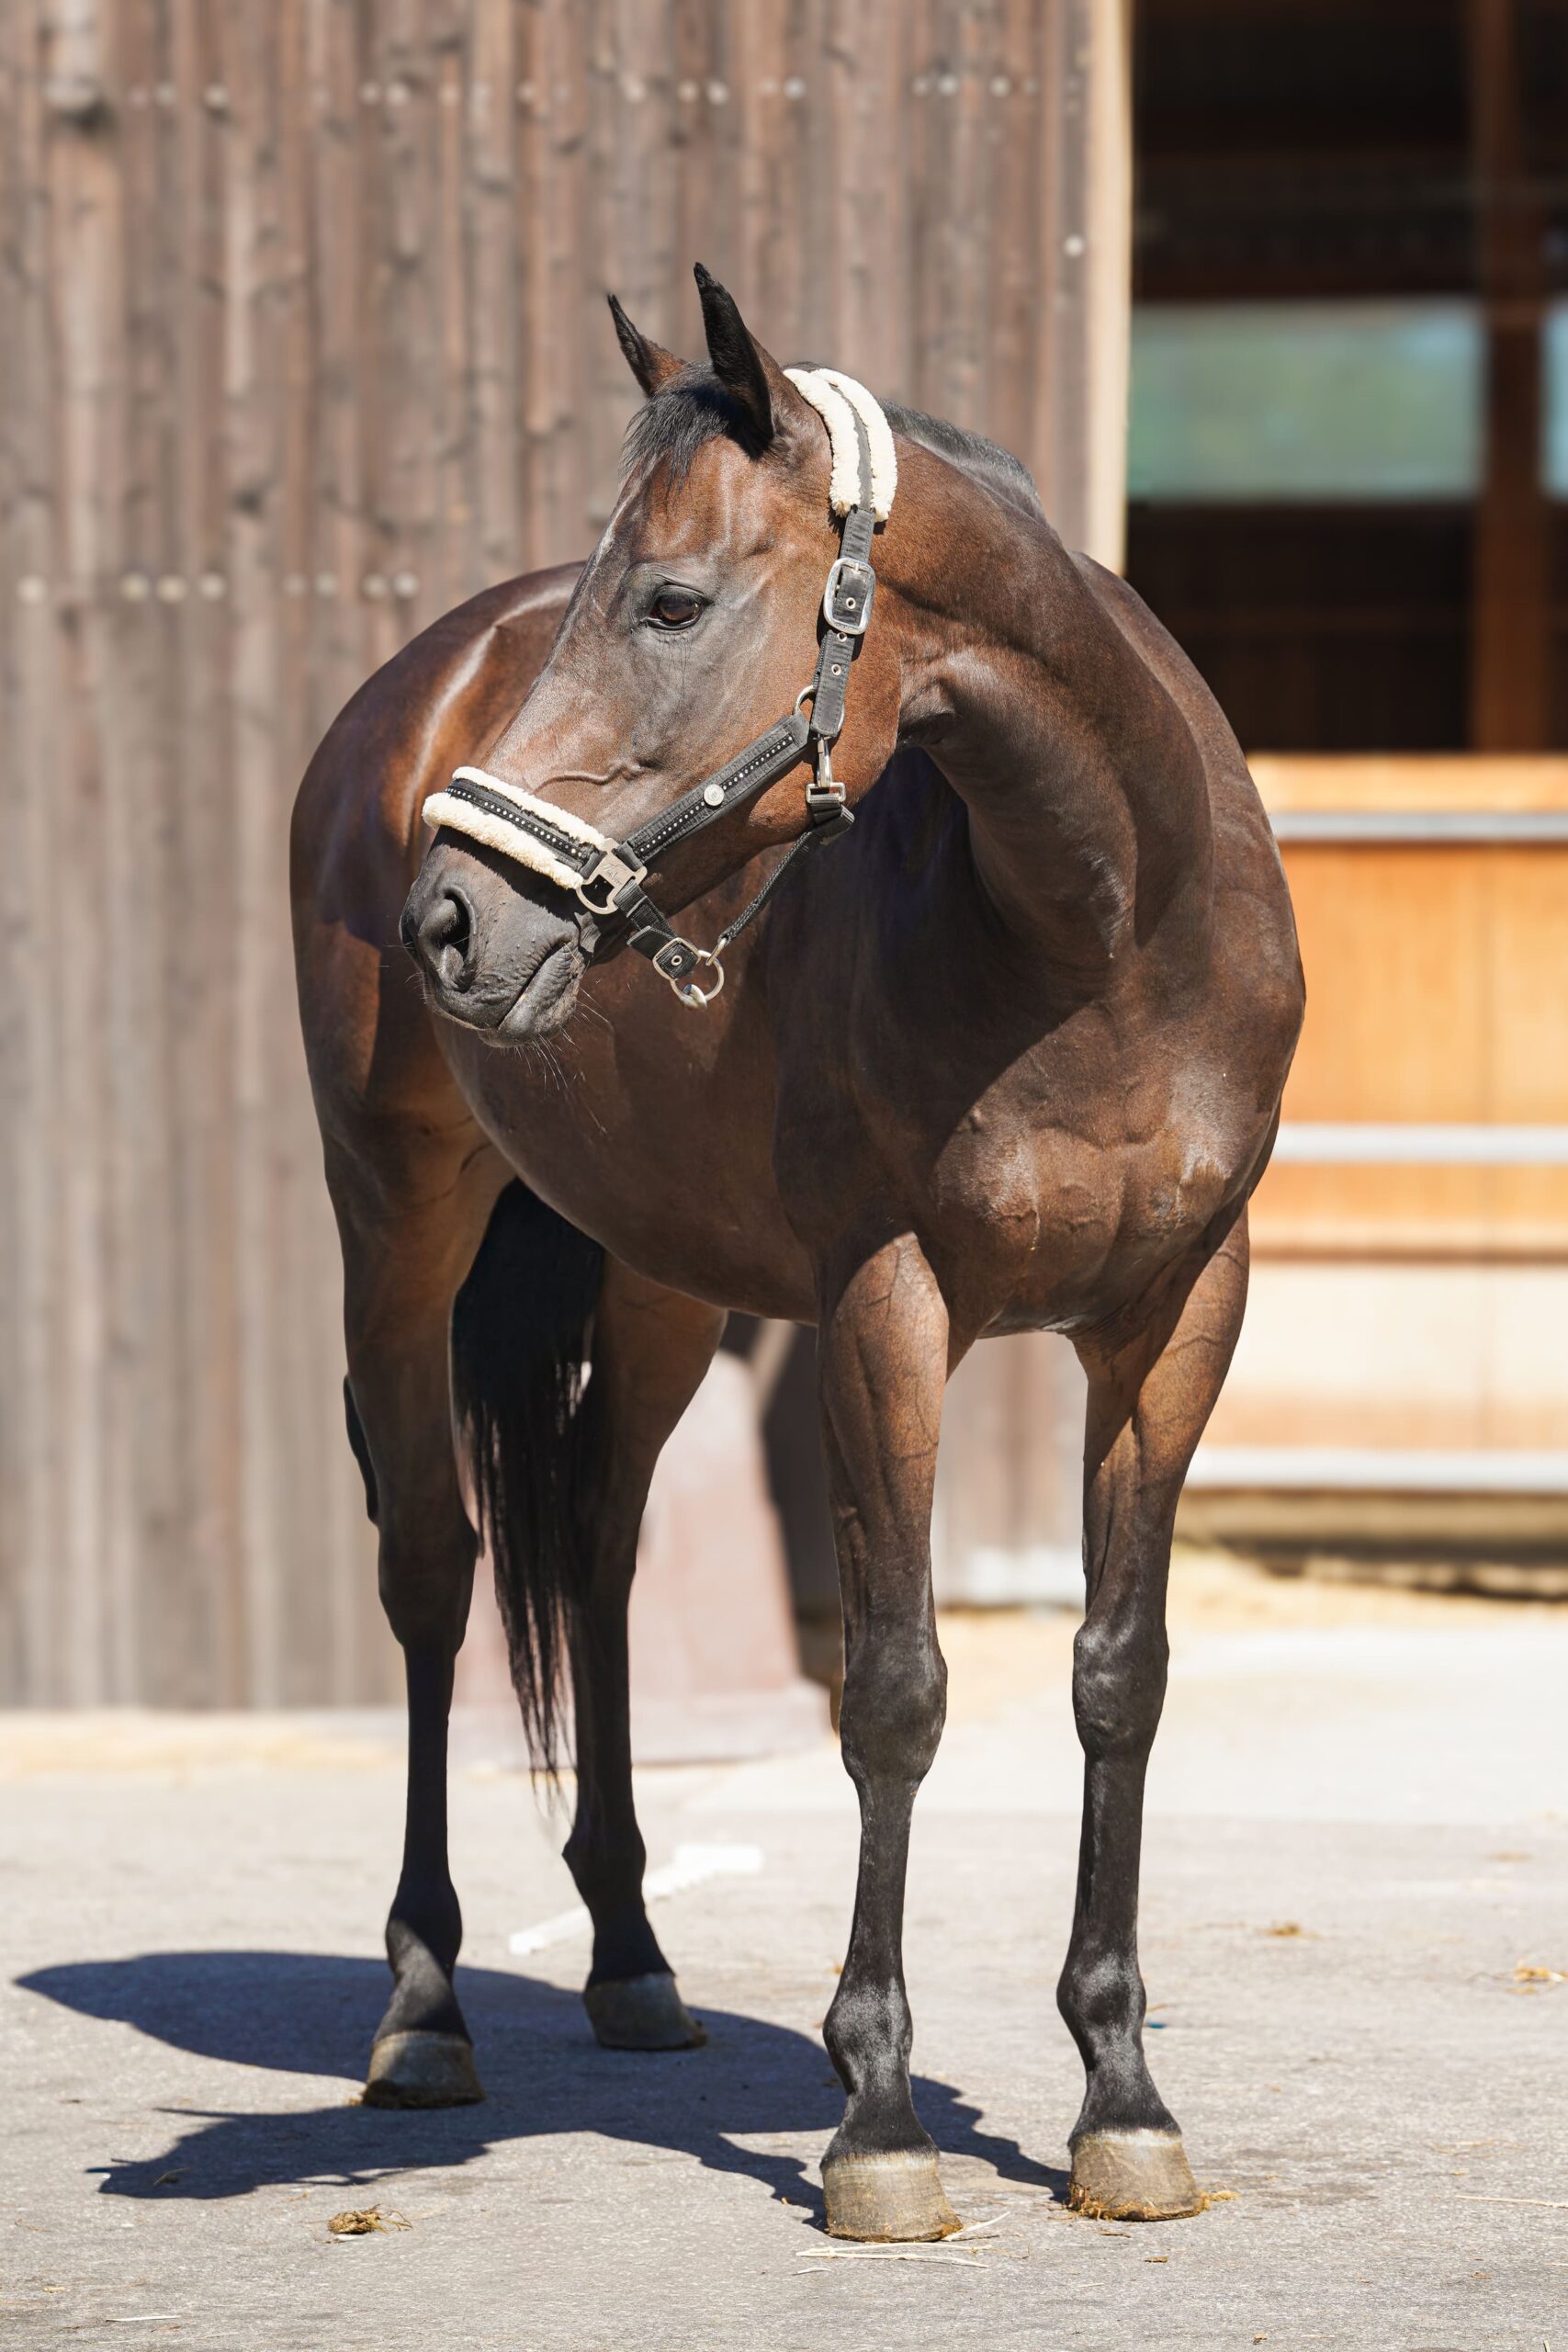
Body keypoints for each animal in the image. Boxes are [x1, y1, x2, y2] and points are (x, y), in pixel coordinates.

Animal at [290, 263, 1304, 2244]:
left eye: (673, 601)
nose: (454, 917)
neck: (1102, 927)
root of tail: (396, 697)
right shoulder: (882, 1310)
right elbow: (893, 1689)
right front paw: (880, 2122)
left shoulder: (1174, 1316)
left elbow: (1118, 1676)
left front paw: (1120, 2096)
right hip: (395, 1224)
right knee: (438, 1568)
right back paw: (426, 2004)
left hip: (660, 1282)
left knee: (595, 1554)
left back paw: (628, 1958)